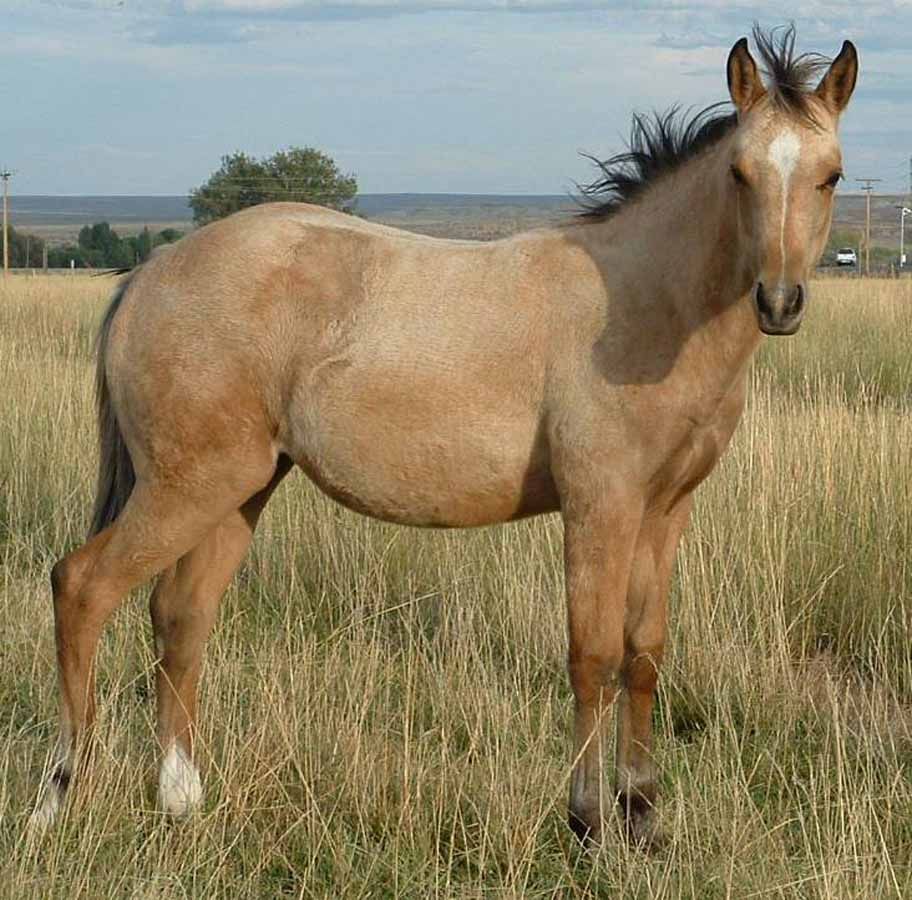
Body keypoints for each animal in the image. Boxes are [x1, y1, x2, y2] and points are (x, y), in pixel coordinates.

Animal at [33, 26, 857, 846]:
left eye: (832, 177)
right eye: (741, 173)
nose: (779, 302)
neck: (640, 305)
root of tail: (154, 269)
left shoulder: (665, 512)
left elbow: (645, 653)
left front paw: (644, 816)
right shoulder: (601, 506)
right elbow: (593, 654)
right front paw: (589, 821)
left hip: (238, 491)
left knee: (180, 618)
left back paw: (180, 798)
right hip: (187, 488)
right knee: (81, 587)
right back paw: (60, 793)